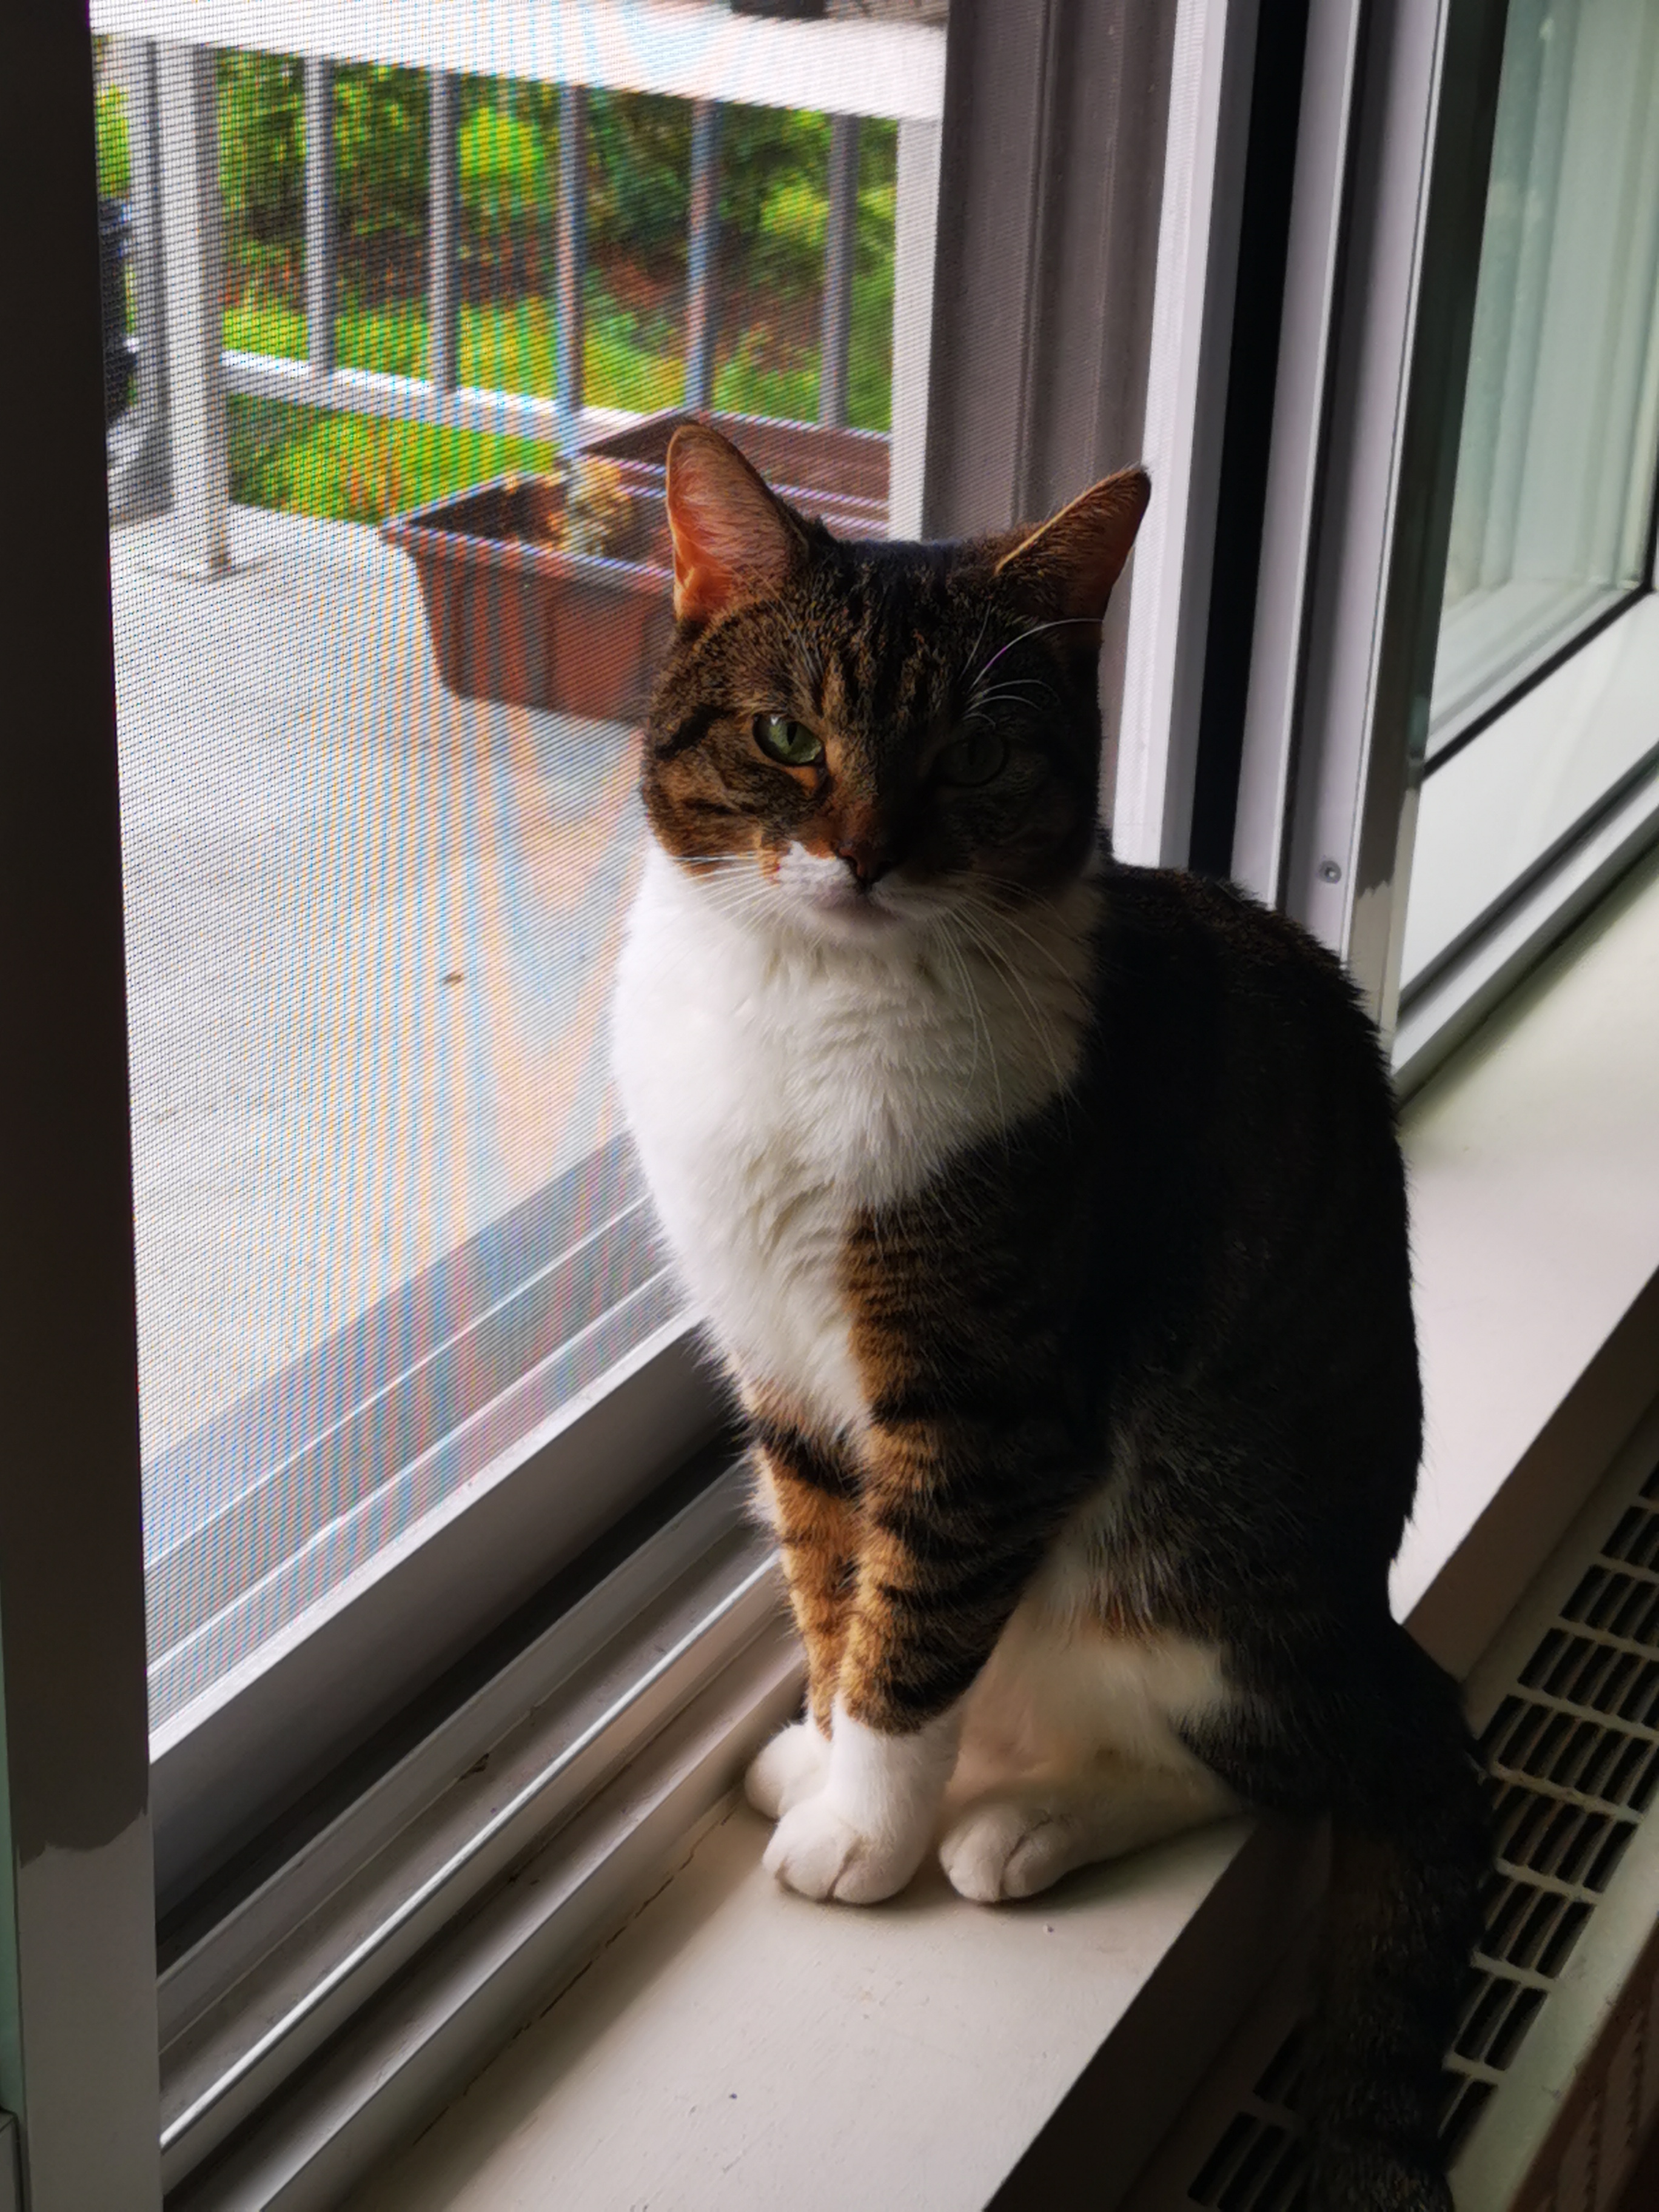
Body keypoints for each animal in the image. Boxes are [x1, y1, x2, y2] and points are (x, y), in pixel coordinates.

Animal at [609, 422, 1489, 2212]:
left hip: (1189, 1539)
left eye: (974, 758)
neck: (803, 1001)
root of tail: (1378, 1641)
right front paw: (819, 1744)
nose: (865, 851)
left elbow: (916, 1620)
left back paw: (1028, 1824)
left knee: (1273, 1757)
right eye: (790, 733)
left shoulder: (985, 1396)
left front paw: (864, 1827)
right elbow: (833, 1587)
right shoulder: (790, 1386)